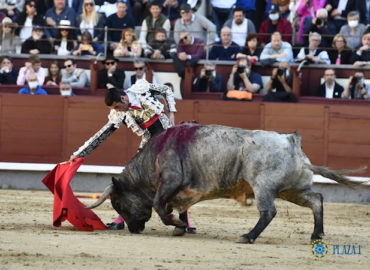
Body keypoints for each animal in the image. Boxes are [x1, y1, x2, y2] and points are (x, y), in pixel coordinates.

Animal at [86, 123, 364, 244]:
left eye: (119, 204)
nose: (134, 229)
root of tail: (291, 141)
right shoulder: (181, 190)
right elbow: (177, 207)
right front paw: (180, 227)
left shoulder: (171, 181)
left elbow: (159, 206)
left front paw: (177, 224)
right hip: (292, 189)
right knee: (317, 199)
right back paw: (316, 235)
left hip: (264, 187)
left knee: (269, 212)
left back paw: (247, 236)